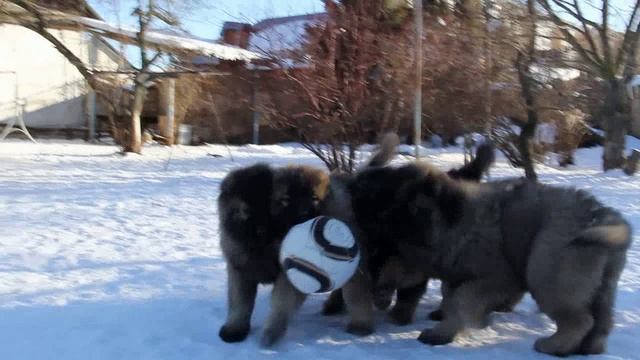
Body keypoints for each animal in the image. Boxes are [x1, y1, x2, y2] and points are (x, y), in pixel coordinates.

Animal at [219, 164, 330, 346]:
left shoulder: (288, 276)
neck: (262, 244)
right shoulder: (240, 270)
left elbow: (280, 304)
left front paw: (270, 333)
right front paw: (234, 329)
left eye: (265, 204)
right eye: (245, 210)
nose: (259, 227)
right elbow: (239, 304)